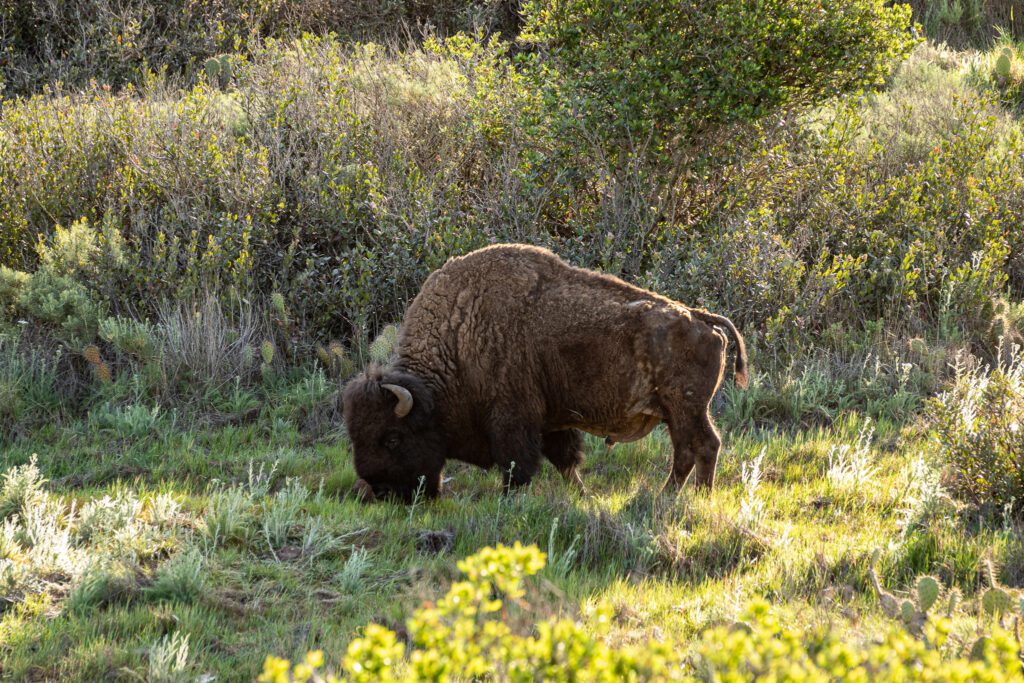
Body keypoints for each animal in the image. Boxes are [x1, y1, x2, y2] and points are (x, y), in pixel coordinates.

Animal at [343, 244, 747, 502]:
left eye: (392, 438)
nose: (378, 491)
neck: (458, 338)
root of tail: (700, 318)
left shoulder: (512, 421)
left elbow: (518, 466)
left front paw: (509, 499)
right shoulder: (552, 423)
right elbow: (566, 462)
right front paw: (583, 497)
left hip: (685, 409)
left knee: (699, 448)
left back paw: (687, 497)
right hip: (680, 412)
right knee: (692, 450)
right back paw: (681, 496)